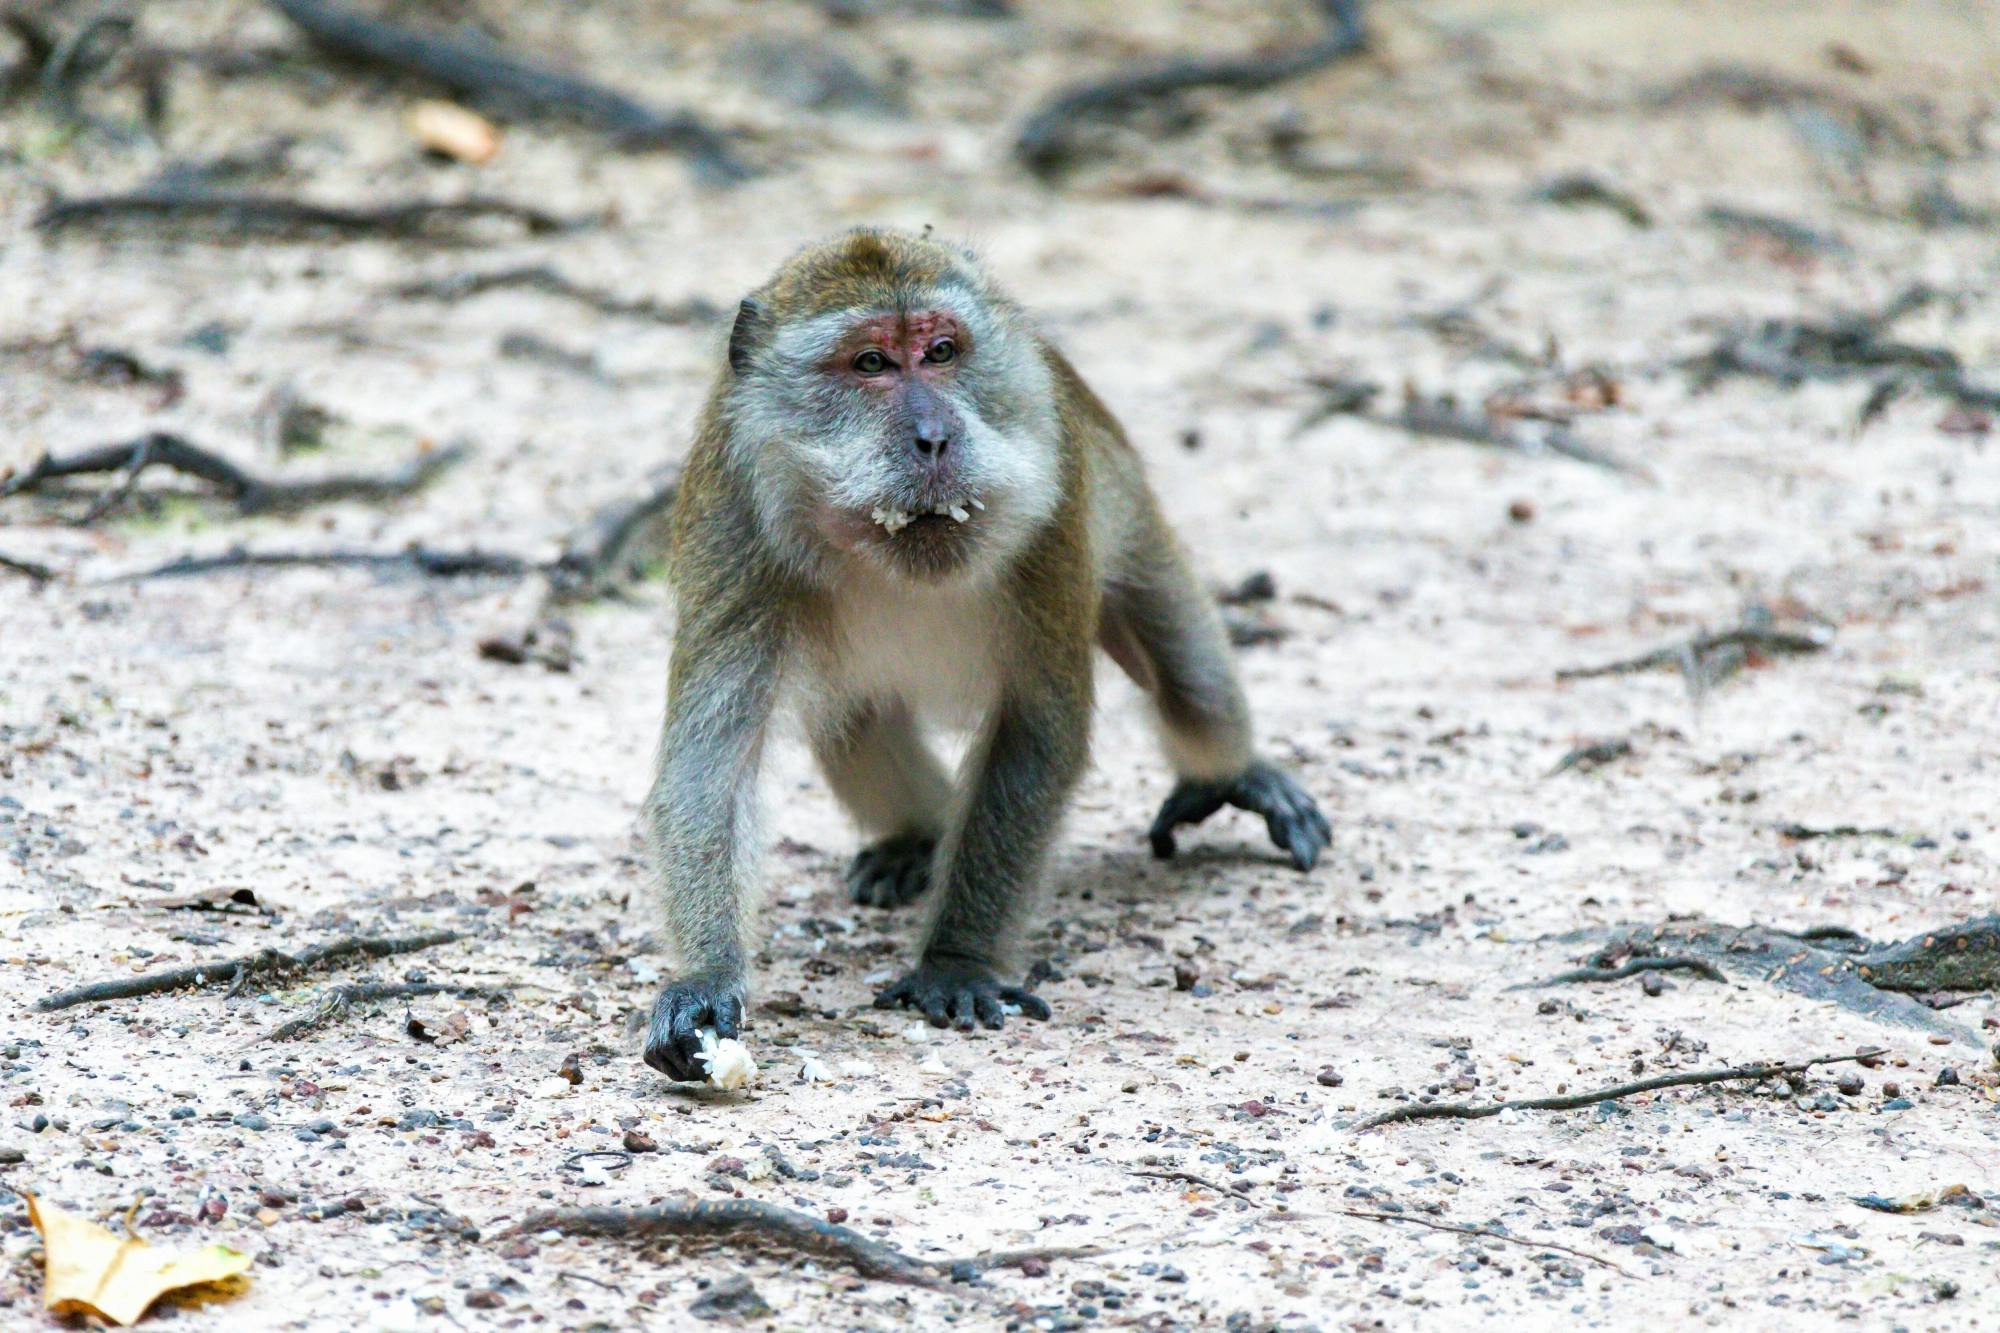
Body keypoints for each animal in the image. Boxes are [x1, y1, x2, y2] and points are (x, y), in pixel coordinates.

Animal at [640, 231, 1328, 1080]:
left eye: (941, 351)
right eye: (870, 363)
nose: (934, 437)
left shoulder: (1054, 501)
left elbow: (1036, 734)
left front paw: (956, 961)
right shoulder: (730, 514)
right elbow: (714, 761)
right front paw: (706, 978)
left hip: (1132, 520)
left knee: (1190, 686)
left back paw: (1235, 772)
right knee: (853, 720)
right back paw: (920, 836)